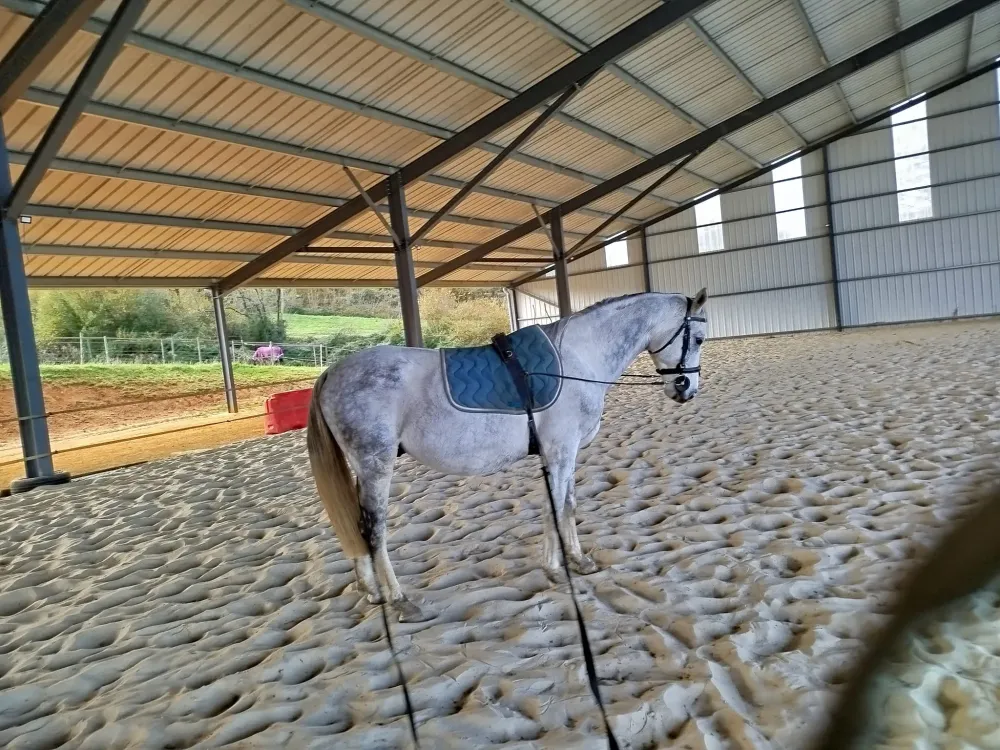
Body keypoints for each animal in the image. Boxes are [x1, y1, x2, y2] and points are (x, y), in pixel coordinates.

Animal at [306, 290, 708, 622]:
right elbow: (559, 507)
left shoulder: (559, 454)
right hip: (376, 466)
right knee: (373, 530)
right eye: (700, 338)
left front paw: (570, 563)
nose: (686, 390)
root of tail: (332, 372)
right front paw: (561, 566)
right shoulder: (561, 450)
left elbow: (562, 505)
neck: (577, 358)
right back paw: (399, 600)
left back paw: (373, 592)